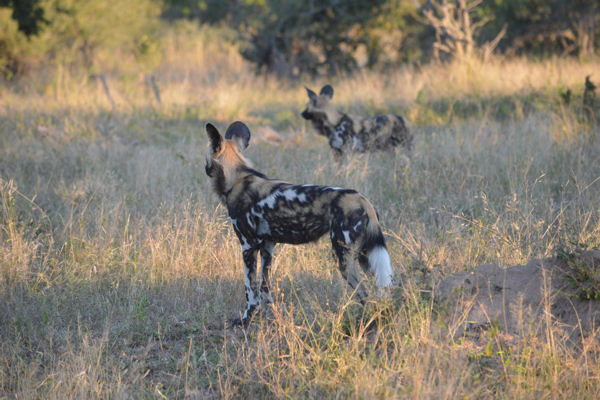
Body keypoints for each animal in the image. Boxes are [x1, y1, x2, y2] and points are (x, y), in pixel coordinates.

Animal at [204, 121, 396, 324]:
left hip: (344, 259)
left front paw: (246, 320)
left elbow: (250, 290)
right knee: (382, 292)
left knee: (366, 295)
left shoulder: (248, 246)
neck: (237, 178)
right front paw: (268, 317)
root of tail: (362, 199)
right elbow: (265, 289)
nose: (205, 168)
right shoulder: (267, 247)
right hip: (366, 257)